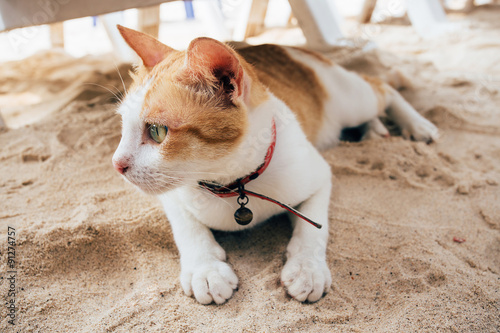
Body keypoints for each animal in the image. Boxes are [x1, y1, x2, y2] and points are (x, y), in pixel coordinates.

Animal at [110, 25, 438, 304]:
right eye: (123, 126)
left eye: (157, 131)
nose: (117, 164)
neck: (234, 183)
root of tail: (283, 46)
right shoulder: (173, 195)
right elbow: (186, 227)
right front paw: (206, 269)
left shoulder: (319, 175)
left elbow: (313, 228)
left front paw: (307, 268)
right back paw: (375, 130)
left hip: (352, 101)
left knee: (383, 87)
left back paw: (416, 125)